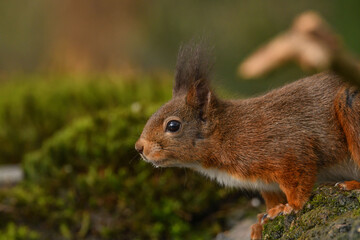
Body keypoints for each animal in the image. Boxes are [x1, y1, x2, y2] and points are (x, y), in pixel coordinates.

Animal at [134, 42, 360, 239]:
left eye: (173, 126)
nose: (139, 147)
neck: (228, 133)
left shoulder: (288, 148)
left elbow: (297, 182)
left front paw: (291, 206)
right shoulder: (265, 181)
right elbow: (271, 198)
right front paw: (265, 217)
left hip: (351, 105)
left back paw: (352, 184)